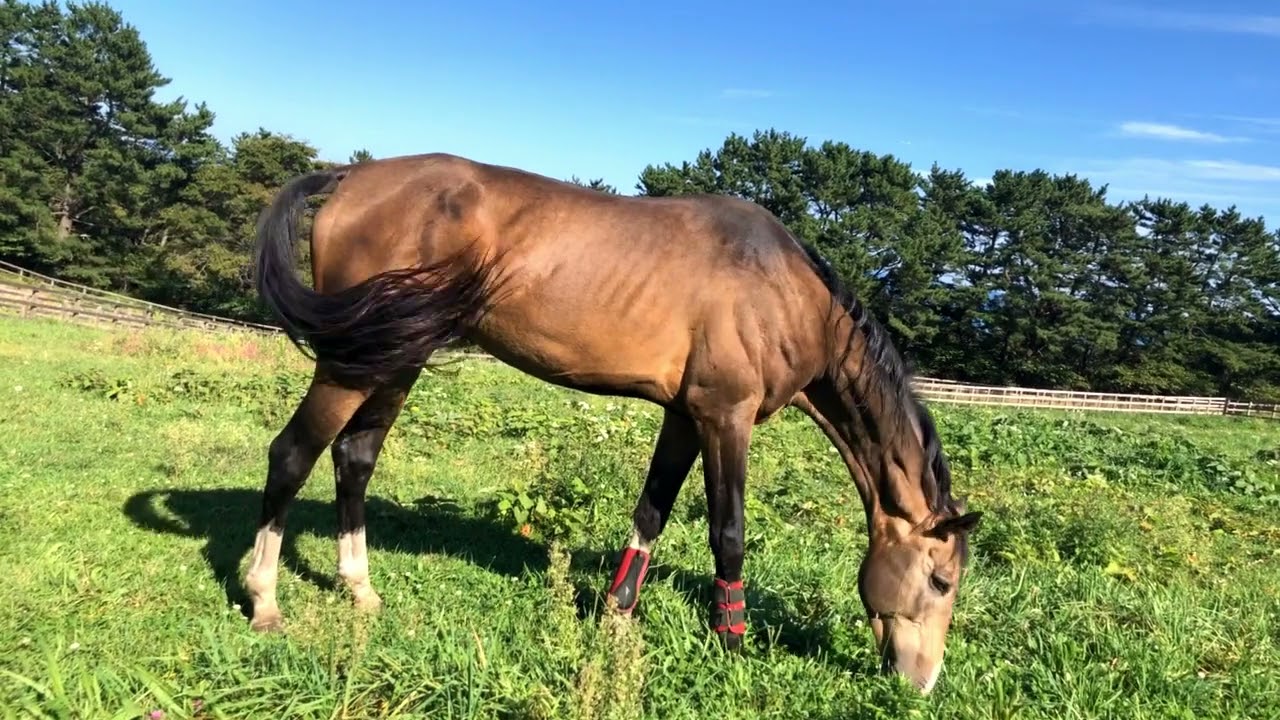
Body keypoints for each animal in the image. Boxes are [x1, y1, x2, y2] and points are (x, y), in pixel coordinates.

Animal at [244, 152, 983, 694]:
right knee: (292, 453)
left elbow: (652, 510)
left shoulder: (684, 416)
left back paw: (360, 590)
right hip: (353, 360)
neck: (784, 293)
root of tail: (350, 175)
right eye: (941, 581)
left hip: (397, 356)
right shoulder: (725, 416)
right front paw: (731, 638)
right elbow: (729, 532)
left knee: (354, 458)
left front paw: (617, 612)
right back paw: (264, 600)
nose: (924, 683)